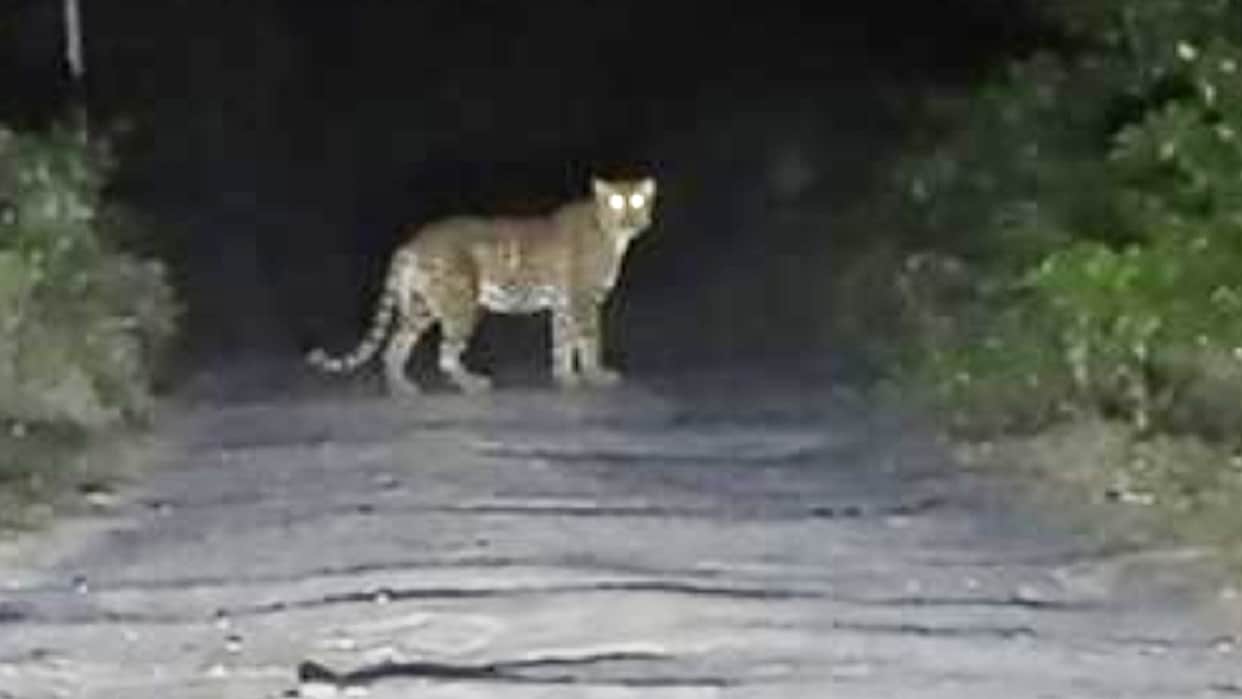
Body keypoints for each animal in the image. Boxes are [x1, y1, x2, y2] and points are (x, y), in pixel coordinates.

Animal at [306, 176, 656, 395]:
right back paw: (472, 384)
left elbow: (562, 344)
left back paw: (402, 388)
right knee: (445, 355)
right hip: (462, 304)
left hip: (420, 305)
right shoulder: (583, 301)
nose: (630, 218)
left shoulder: (564, 304)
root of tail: (413, 242)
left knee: (395, 347)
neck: (614, 235)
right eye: (616, 201)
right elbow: (589, 341)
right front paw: (597, 376)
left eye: (638, 199)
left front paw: (565, 378)